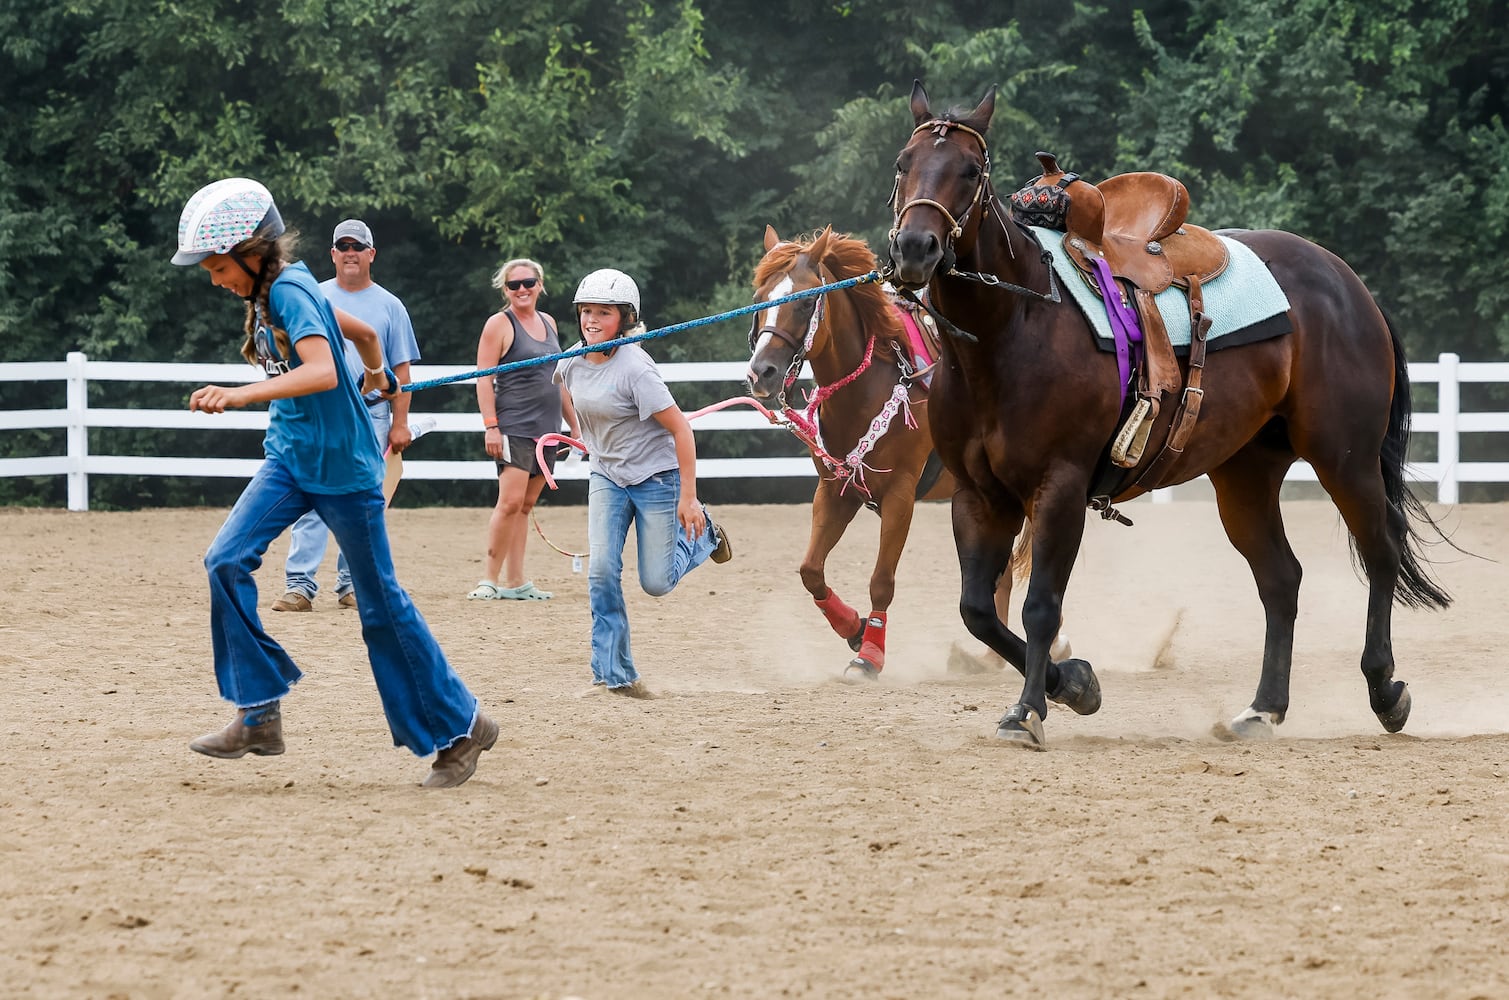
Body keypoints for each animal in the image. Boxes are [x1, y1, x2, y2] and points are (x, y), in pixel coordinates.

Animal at [742, 226, 1062, 675]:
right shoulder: (835, 491)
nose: (761, 373)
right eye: (759, 299)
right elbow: (811, 571)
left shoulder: (900, 497)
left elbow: (881, 581)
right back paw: (990, 658)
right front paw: (854, 628)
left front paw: (869, 654)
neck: (870, 385)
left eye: (805, 302)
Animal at [881, 82, 1448, 748]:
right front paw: (1075, 684)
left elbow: (1040, 606)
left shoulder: (1060, 487)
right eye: (903, 164)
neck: (1011, 330)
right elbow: (977, 610)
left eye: (970, 170)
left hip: (1345, 458)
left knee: (1380, 550)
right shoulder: (978, 495)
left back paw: (1385, 689)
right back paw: (1263, 708)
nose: (915, 248)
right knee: (1281, 578)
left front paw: (1028, 711)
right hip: (1245, 475)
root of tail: (1348, 284)